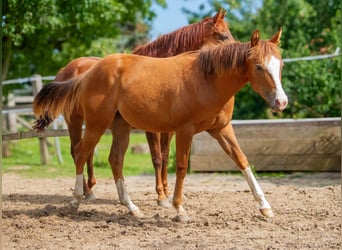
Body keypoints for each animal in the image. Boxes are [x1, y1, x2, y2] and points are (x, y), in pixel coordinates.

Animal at [33, 9, 234, 205]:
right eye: (223, 36)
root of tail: (65, 71)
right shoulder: (152, 130)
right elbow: (157, 158)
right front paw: (161, 196)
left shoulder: (169, 130)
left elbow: (166, 155)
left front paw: (167, 192)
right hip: (75, 121)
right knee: (76, 152)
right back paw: (85, 192)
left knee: (87, 152)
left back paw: (89, 191)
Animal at [33, 29, 288, 221]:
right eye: (258, 66)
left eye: (281, 65)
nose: (281, 102)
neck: (207, 80)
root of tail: (88, 73)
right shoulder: (185, 131)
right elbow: (182, 167)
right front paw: (179, 209)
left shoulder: (221, 129)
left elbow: (242, 160)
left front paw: (265, 207)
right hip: (95, 125)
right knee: (80, 153)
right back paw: (77, 200)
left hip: (120, 127)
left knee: (115, 160)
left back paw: (132, 208)